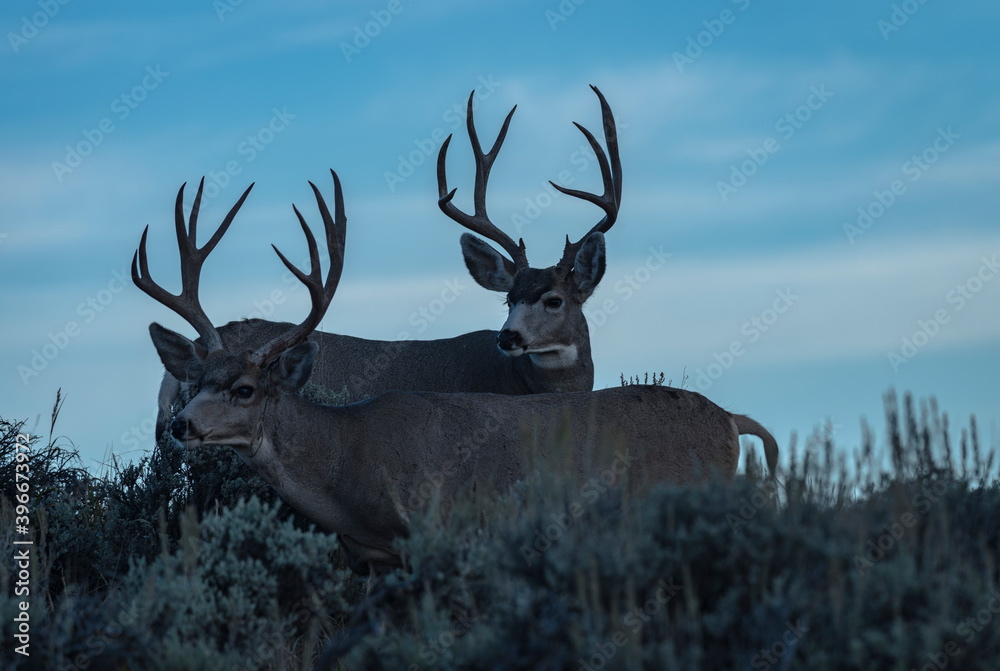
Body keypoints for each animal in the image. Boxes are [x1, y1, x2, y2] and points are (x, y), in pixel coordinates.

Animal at [134, 169, 779, 576]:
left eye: (244, 389)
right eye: (200, 382)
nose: (182, 426)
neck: (350, 456)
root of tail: (732, 420)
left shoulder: (440, 525)